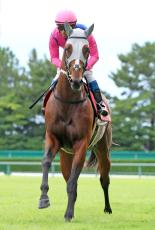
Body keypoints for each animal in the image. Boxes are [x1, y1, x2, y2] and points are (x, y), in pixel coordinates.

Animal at [38, 22, 112, 221]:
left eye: (87, 49)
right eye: (67, 48)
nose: (77, 80)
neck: (67, 101)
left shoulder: (81, 144)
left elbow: (73, 182)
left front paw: (68, 214)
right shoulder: (53, 138)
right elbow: (46, 162)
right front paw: (43, 198)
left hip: (102, 147)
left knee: (104, 178)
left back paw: (107, 209)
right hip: (66, 154)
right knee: (69, 176)